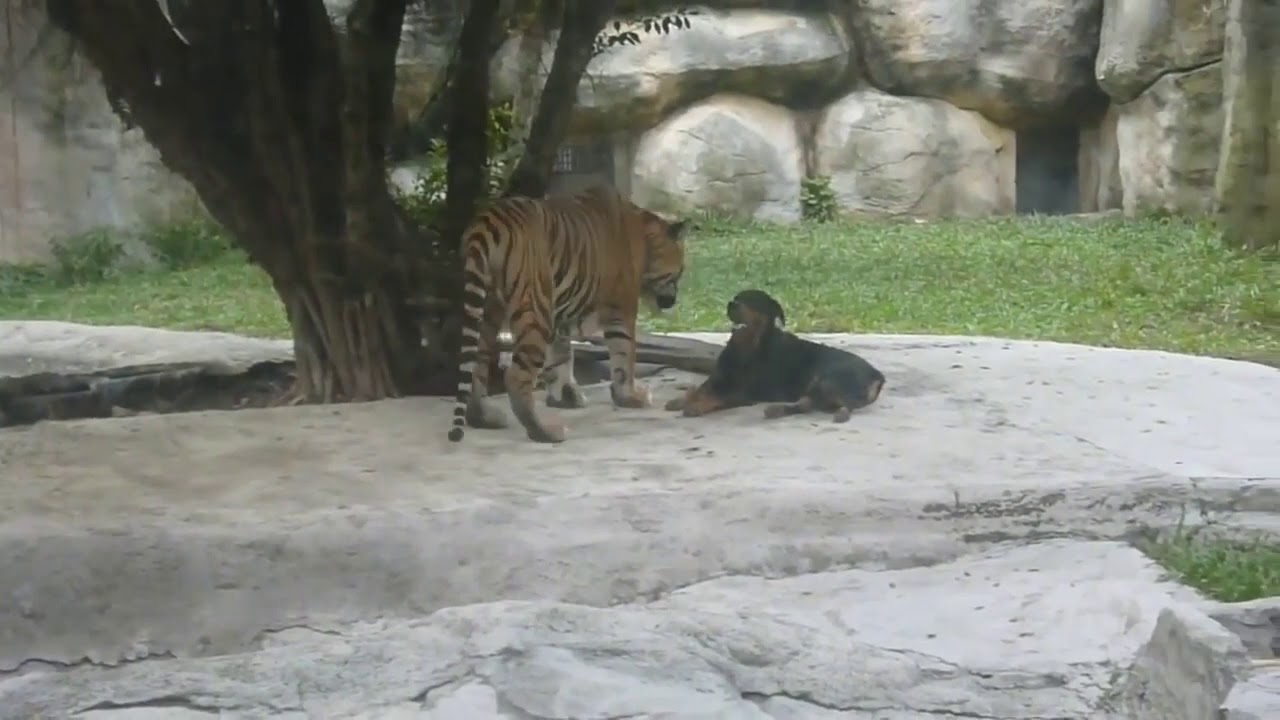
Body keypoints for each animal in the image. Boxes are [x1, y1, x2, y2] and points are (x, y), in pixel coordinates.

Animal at [446, 185, 689, 444]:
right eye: (679, 272)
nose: (673, 300)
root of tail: (487, 222)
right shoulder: (620, 309)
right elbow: (624, 354)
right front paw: (631, 396)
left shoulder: (558, 317)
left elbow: (561, 356)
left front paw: (565, 396)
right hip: (535, 308)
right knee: (515, 377)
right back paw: (545, 432)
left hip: (488, 308)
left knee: (477, 363)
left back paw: (483, 418)